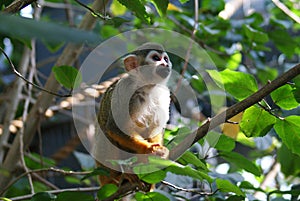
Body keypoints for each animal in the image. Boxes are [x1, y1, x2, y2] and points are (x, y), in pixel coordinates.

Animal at [95, 42, 172, 190]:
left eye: (165, 59)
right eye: (155, 58)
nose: (165, 64)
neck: (146, 88)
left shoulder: (164, 94)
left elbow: (156, 128)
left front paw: (160, 153)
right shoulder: (126, 89)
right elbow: (114, 128)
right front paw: (149, 149)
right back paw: (120, 176)